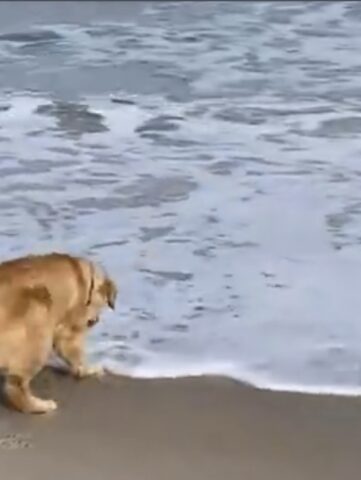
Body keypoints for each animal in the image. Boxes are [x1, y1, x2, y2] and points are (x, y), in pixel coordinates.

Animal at [0, 253, 116, 414]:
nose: (95, 321)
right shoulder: (69, 332)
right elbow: (76, 356)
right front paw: (88, 370)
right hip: (40, 311)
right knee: (15, 386)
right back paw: (40, 406)